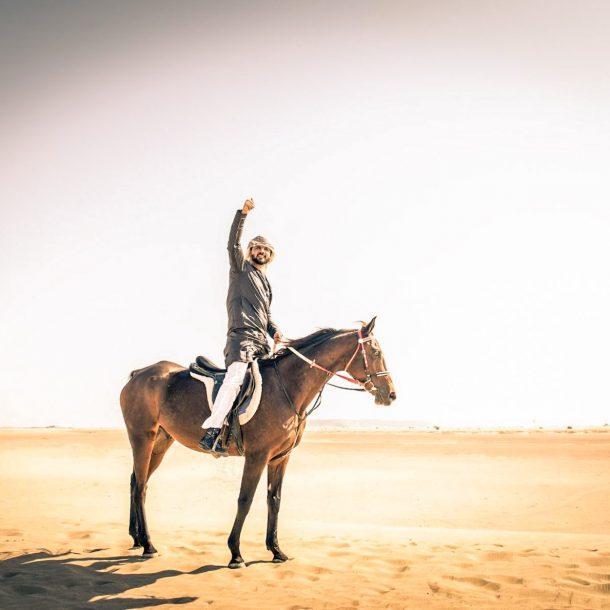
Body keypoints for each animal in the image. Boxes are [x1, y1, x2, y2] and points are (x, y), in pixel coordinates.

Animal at [120, 316, 394, 568]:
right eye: (376, 352)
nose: (391, 394)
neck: (287, 388)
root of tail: (139, 373)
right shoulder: (257, 456)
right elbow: (245, 499)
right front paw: (235, 553)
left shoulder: (280, 458)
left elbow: (274, 500)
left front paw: (276, 550)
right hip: (142, 438)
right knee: (141, 487)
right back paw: (148, 544)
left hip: (161, 443)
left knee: (136, 483)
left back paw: (136, 538)